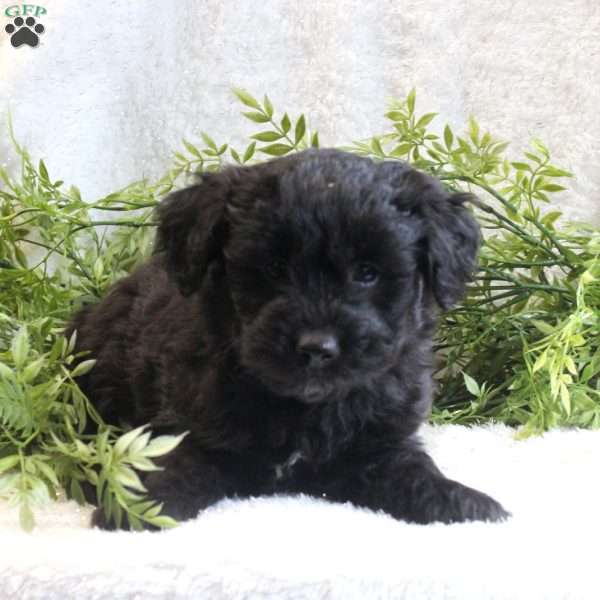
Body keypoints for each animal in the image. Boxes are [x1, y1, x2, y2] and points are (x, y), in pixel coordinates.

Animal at [68, 148, 508, 528]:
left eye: (368, 272)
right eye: (274, 268)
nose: (316, 347)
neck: (304, 408)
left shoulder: (379, 445)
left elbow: (413, 472)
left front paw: (465, 504)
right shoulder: (194, 426)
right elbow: (179, 463)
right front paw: (137, 509)